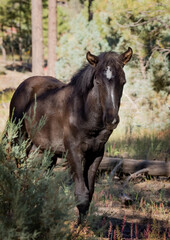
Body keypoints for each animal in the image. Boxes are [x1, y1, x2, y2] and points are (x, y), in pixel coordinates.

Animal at [9, 47, 133, 223]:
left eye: (123, 82)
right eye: (98, 82)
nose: (111, 120)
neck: (84, 113)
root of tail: (22, 85)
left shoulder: (96, 154)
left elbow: (90, 192)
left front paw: (84, 225)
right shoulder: (73, 152)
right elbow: (81, 194)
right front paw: (78, 228)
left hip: (45, 152)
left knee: (38, 177)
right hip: (20, 141)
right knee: (20, 172)